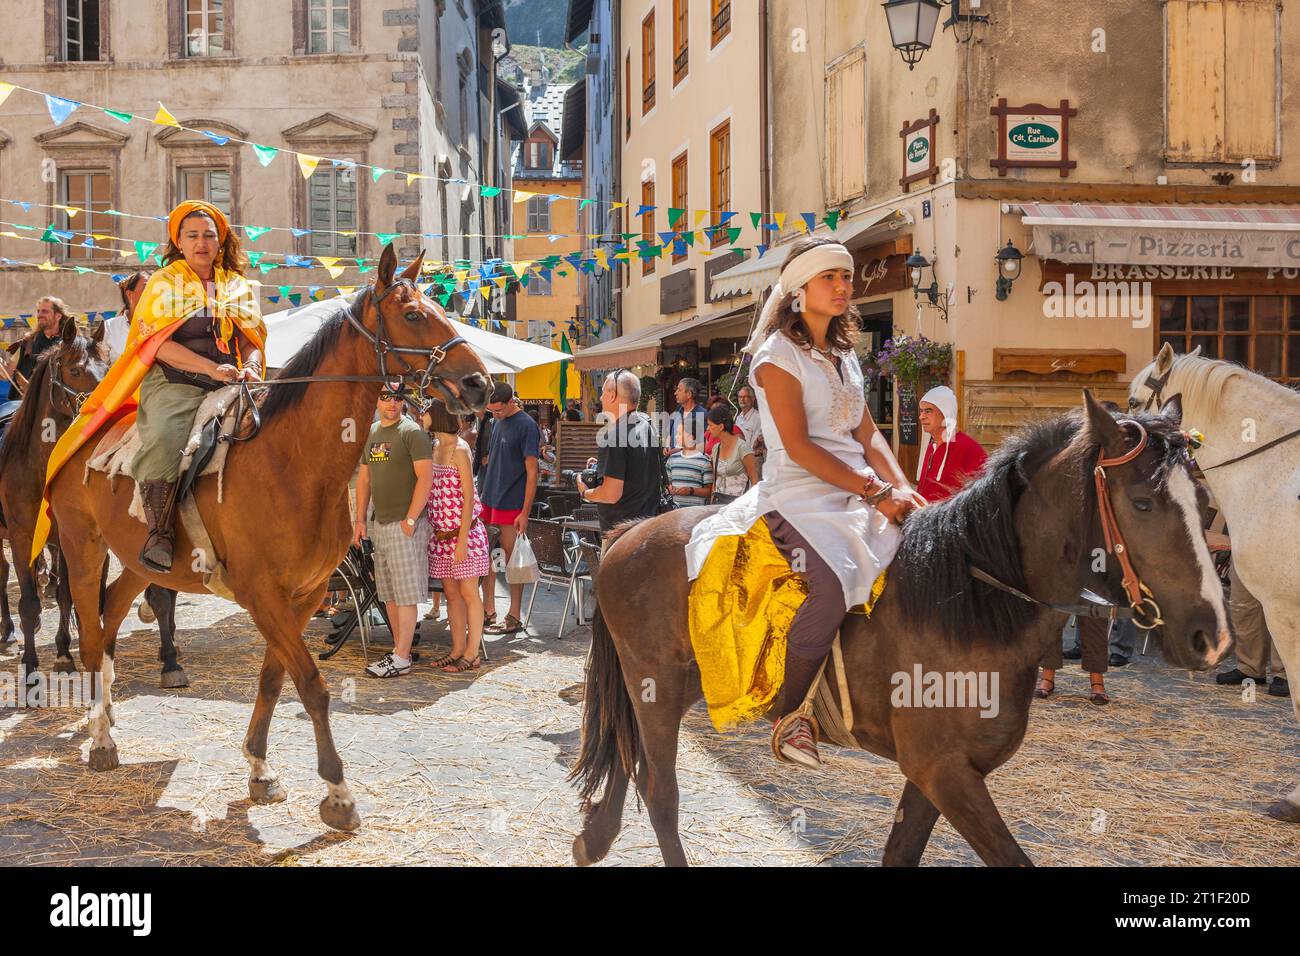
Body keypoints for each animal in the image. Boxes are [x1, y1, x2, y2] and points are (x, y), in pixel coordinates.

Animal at [0, 319, 188, 686]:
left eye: (109, 367)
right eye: (74, 370)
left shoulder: (74, 538)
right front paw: (30, 667)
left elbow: (73, 595)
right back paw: (10, 634)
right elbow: (29, 604)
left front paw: (65, 653)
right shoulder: (21, 537)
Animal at [45, 244, 488, 832]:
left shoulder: (304, 596)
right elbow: (313, 687)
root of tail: (84, 427)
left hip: (137, 563)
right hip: (82, 548)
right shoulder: (263, 596)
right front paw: (338, 793)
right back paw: (99, 738)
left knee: (110, 614)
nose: (483, 384)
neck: (290, 461)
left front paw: (259, 768)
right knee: (92, 635)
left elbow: (274, 680)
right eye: (414, 314)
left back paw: (109, 716)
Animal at [574, 395, 1232, 868]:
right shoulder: (944, 772)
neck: (967, 598)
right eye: (1143, 502)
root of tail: (629, 533)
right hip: (656, 686)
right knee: (660, 789)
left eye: (1206, 507)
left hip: (683, 684)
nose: (1212, 636)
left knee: (632, 762)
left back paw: (594, 839)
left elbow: (901, 852)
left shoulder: (938, 774)